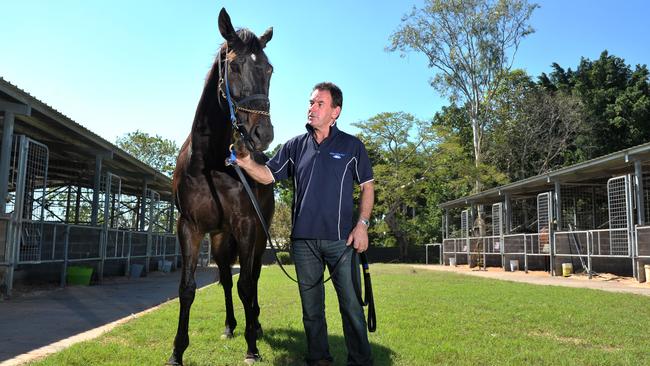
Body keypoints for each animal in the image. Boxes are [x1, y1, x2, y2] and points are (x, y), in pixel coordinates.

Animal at [167, 8, 274, 366]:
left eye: (269, 69)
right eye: (234, 65)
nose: (262, 134)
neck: (210, 162)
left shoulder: (246, 226)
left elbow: (248, 286)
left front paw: (252, 347)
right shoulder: (190, 227)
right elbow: (187, 289)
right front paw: (177, 351)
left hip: (257, 235)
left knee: (252, 278)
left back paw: (255, 324)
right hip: (219, 236)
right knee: (227, 277)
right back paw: (230, 325)